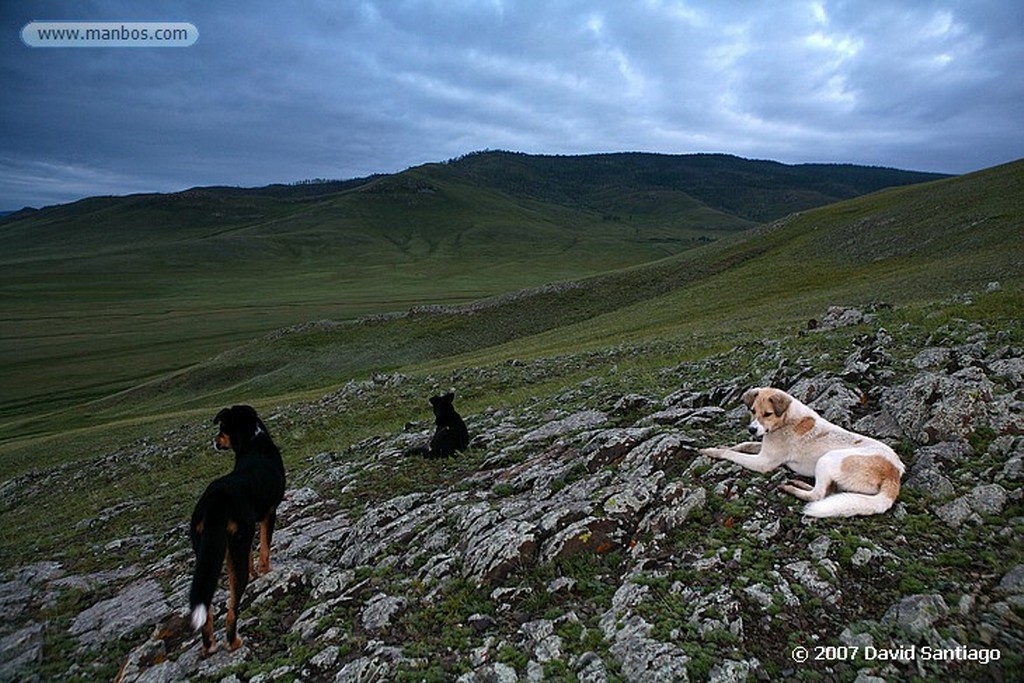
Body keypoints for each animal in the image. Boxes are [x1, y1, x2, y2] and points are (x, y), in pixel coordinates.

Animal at [187, 405, 284, 655]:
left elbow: (253, 553)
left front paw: (256, 572)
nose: (213, 441)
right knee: (232, 609)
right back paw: (234, 642)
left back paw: (209, 647)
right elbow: (264, 547)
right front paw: (265, 571)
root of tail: (214, 501)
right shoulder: (269, 513)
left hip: (206, 549)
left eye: (222, 429)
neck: (254, 443)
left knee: (208, 609)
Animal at [700, 387, 909, 516]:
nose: (752, 429)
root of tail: (894, 473)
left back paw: (791, 488)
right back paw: (799, 483)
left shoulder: (764, 462)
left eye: (768, 414)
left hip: (828, 459)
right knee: (827, 491)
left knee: (818, 495)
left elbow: (732, 454)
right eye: (752, 410)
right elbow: (742, 445)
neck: (785, 420)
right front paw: (726, 446)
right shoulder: (763, 449)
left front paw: (712, 451)